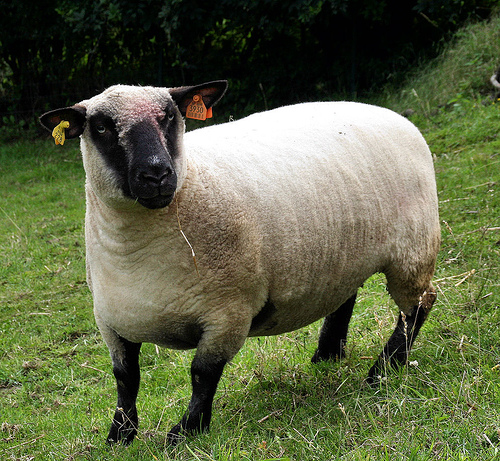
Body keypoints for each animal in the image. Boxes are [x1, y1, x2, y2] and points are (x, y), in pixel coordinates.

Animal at [39, 80, 440, 445]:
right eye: (101, 127)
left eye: (170, 116)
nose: (157, 174)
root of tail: (391, 114)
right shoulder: (111, 321)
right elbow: (125, 378)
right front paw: (119, 435)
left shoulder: (227, 313)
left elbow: (202, 374)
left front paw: (186, 432)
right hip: (344, 252)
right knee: (345, 295)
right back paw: (327, 354)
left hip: (413, 249)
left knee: (417, 308)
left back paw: (383, 371)